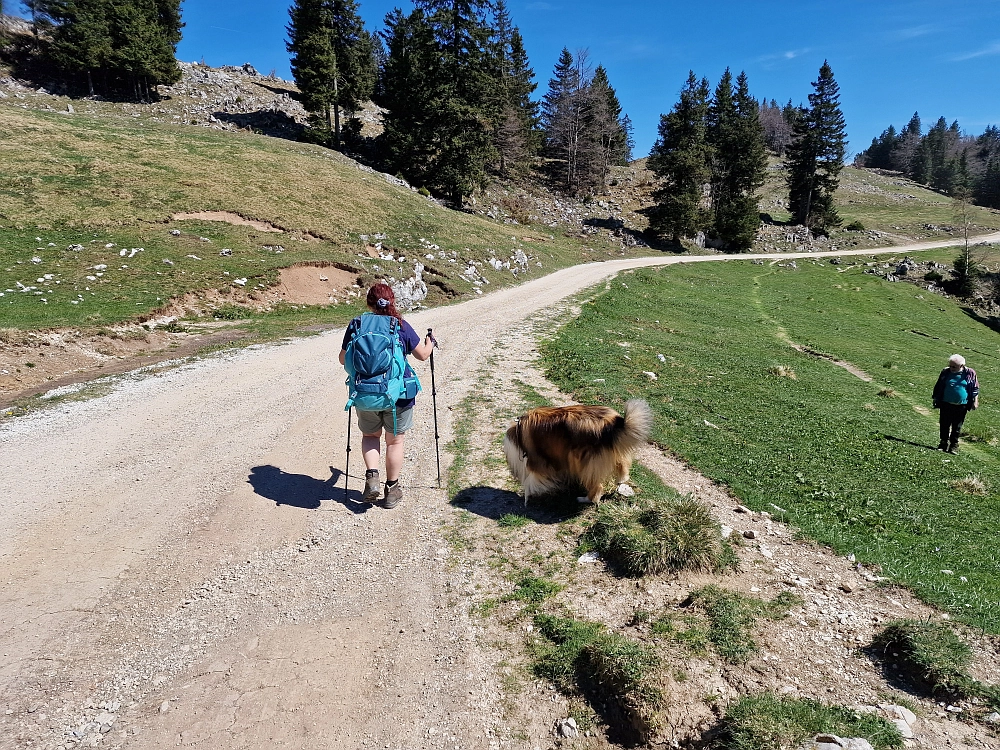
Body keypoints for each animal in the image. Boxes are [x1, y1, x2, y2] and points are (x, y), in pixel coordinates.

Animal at [500, 400, 656, 506]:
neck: (518, 434)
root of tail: (612, 425)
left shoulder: (536, 459)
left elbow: (530, 480)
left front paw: (528, 496)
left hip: (582, 461)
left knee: (597, 487)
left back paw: (585, 499)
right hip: (612, 452)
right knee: (622, 465)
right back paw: (621, 480)